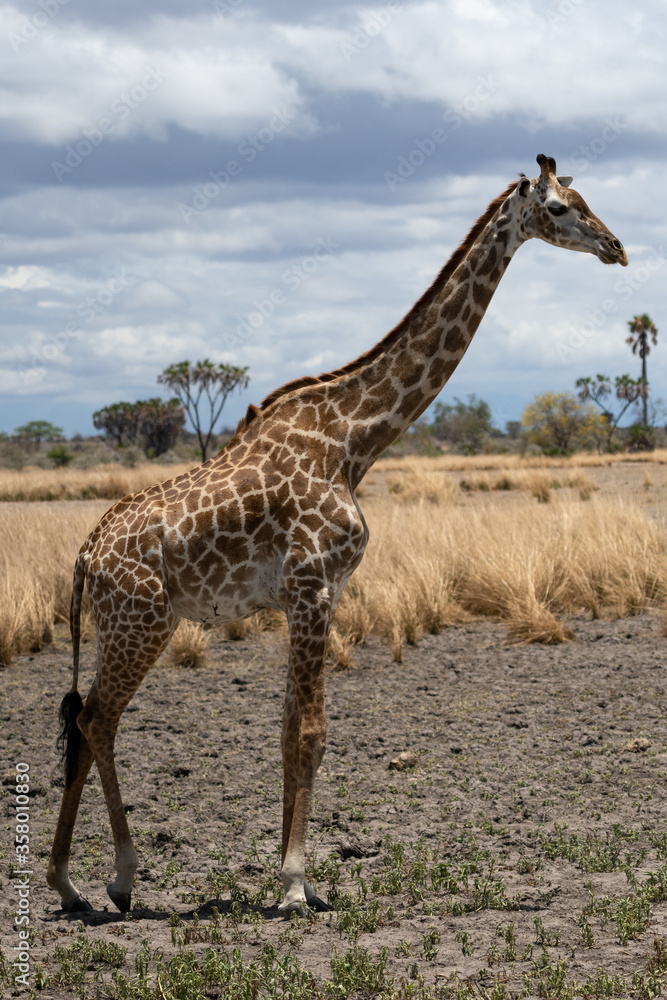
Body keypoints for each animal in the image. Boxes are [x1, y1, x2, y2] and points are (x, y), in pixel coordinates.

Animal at [48, 154, 627, 916]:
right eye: (559, 208)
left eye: (584, 198)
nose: (616, 247)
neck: (357, 441)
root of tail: (86, 553)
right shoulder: (312, 587)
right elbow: (311, 733)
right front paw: (295, 883)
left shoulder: (317, 596)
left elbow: (291, 731)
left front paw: (301, 879)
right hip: (138, 620)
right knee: (97, 719)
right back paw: (114, 877)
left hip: (136, 623)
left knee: (86, 720)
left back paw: (70, 884)